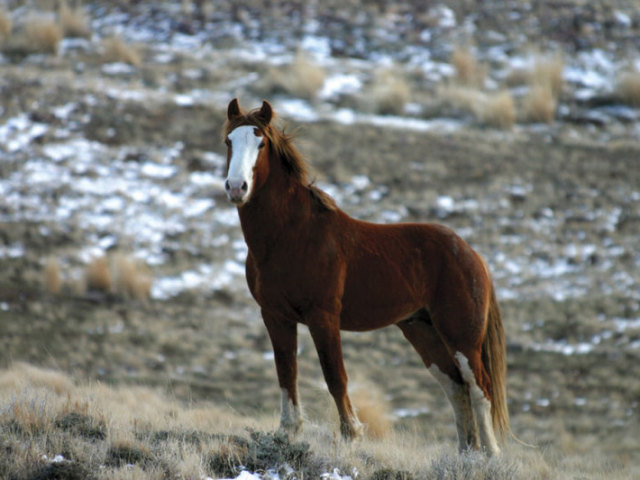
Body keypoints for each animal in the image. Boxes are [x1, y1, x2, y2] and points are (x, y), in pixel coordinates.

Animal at [222, 99, 508, 456]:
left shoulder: (323, 317)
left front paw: (351, 435)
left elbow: (335, 376)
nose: (237, 188)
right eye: (228, 141)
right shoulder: (275, 316)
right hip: (423, 332)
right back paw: (466, 454)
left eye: (260, 144)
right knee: (456, 388)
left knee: (479, 388)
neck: (291, 235)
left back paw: (490, 457)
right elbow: (286, 373)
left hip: (461, 335)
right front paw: (287, 433)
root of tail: (472, 255)